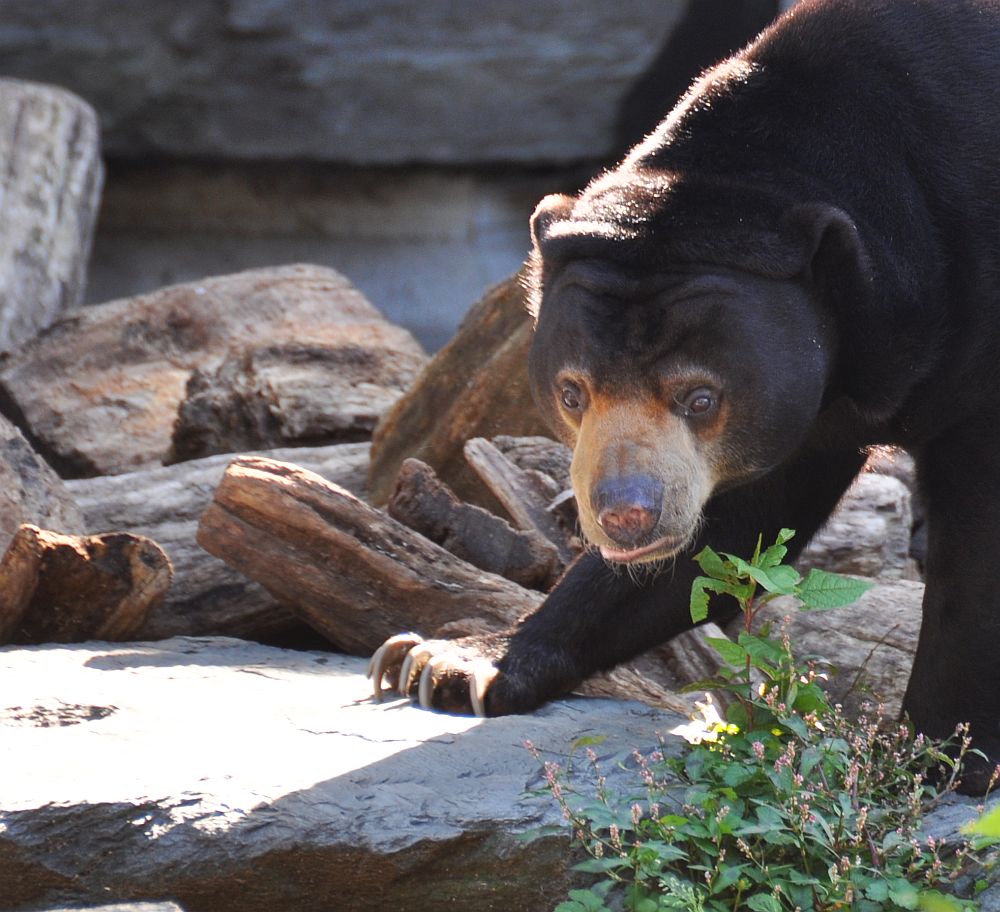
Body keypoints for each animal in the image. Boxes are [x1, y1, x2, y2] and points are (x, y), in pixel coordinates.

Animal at [372, 0, 1000, 792]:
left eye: (701, 398)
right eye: (573, 392)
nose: (625, 516)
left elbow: (976, 555)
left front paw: (929, 760)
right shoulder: (815, 404)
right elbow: (731, 529)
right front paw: (444, 664)